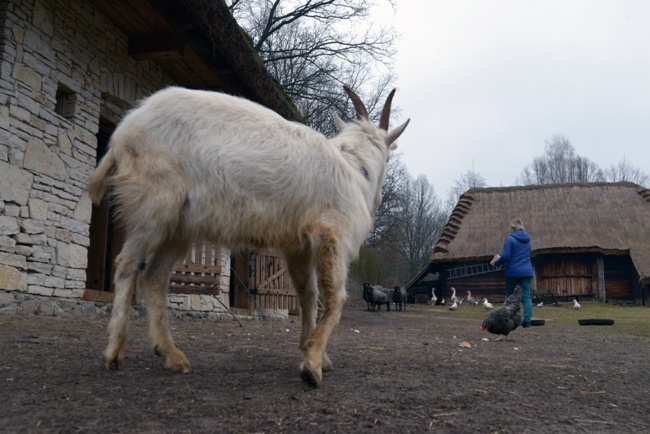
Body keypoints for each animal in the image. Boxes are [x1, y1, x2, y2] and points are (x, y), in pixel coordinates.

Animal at [88, 85, 408, 386]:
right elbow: (335, 297)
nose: (379, 199)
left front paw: (313, 351)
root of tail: (122, 134)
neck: (354, 167)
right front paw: (312, 364)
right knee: (127, 264)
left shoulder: (298, 247)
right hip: (155, 202)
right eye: (389, 156)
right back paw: (115, 350)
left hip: (178, 226)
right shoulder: (331, 232)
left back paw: (170, 354)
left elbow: (307, 296)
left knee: (153, 277)